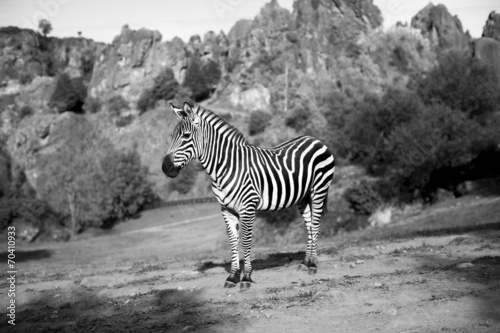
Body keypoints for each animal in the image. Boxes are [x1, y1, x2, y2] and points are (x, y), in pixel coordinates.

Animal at [164, 102, 336, 286]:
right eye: (172, 136)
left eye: (186, 136)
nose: (165, 167)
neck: (225, 167)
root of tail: (314, 139)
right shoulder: (226, 209)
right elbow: (233, 242)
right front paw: (232, 277)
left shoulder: (248, 206)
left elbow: (246, 241)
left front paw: (246, 277)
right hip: (303, 196)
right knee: (310, 226)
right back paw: (305, 263)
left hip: (319, 189)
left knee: (316, 225)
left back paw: (313, 265)